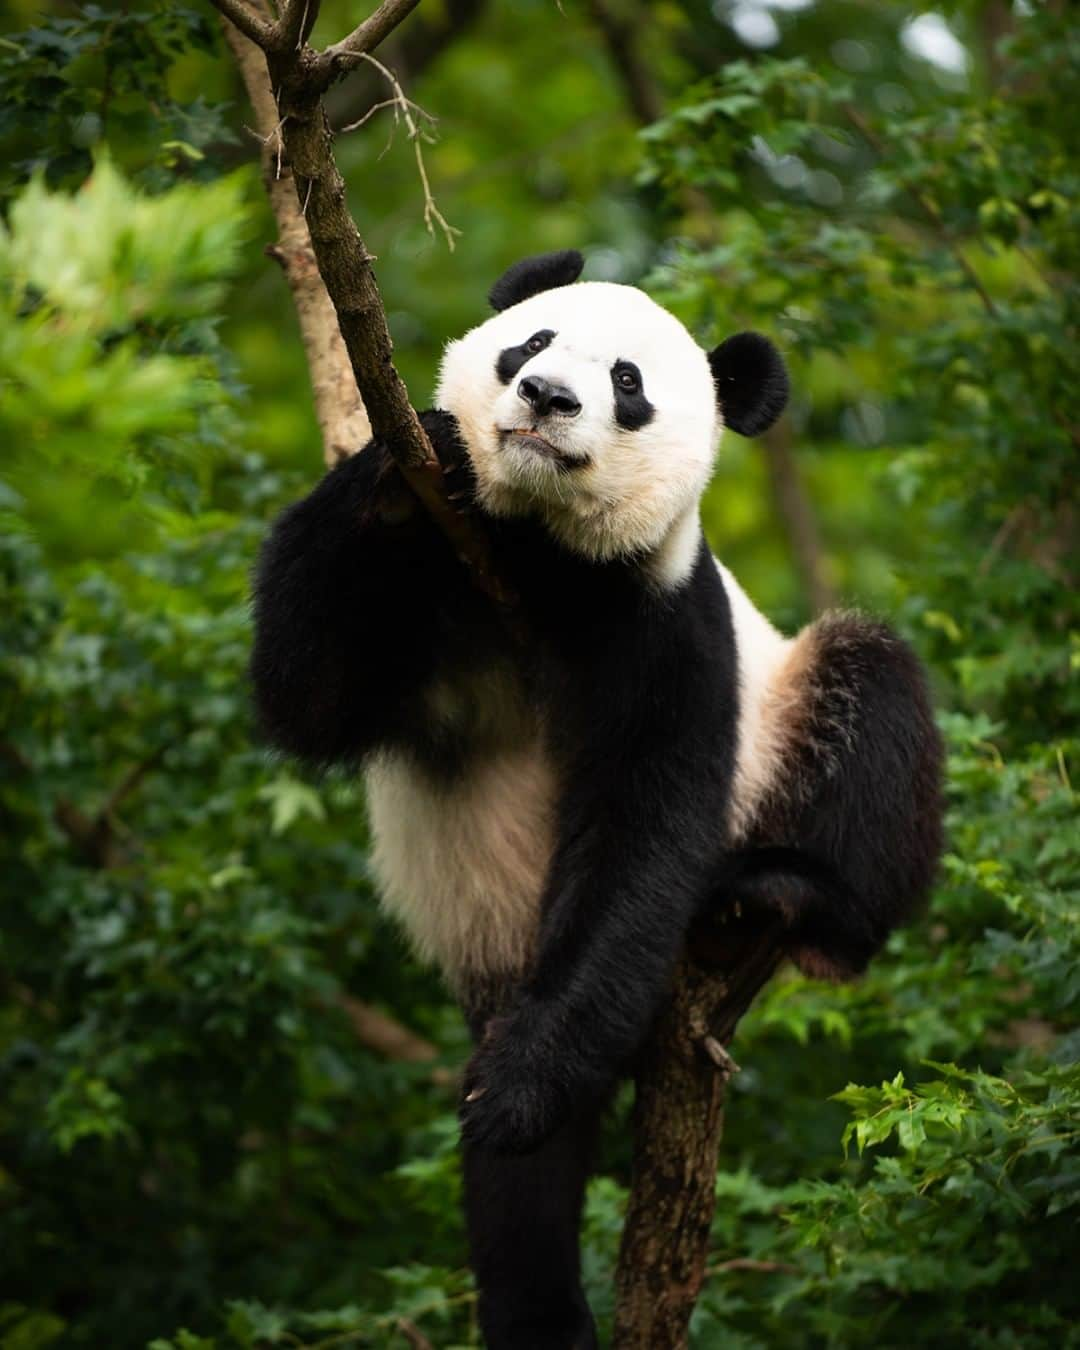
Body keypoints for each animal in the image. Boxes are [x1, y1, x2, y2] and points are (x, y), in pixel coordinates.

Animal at [248, 248, 939, 1344]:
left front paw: (522, 1093)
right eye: (530, 342)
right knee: (515, 1186)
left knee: (871, 692)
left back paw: (796, 899)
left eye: (627, 384)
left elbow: (643, 830)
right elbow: (308, 693)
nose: (546, 396)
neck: (532, 557)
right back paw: (536, 1301)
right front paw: (405, 468)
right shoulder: (432, 589)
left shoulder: (665, 616)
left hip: (791, 731)